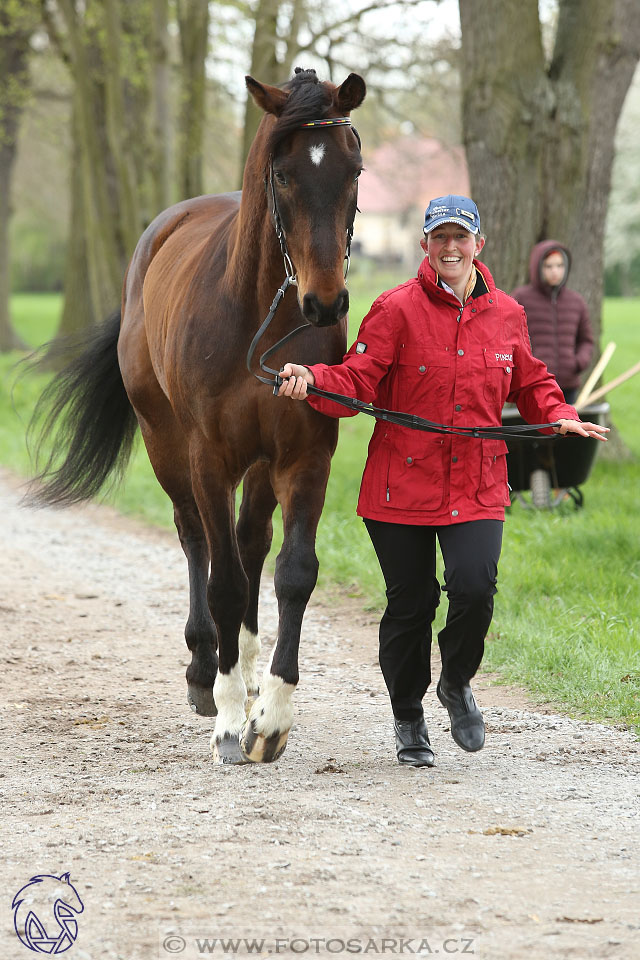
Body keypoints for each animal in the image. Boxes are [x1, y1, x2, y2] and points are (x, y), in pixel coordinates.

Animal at [28, 69, 364, 764]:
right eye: (283, 173)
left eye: (353, 170)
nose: (324, 302)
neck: (261, 317)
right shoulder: (208, 457)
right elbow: (224, 580)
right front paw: (231, 721)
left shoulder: (304, 457)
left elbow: (293, 573)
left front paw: (271, 716)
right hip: (166, 443)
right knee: (197, 540)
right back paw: (205, 666)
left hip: (258, 465)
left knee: (249, 542)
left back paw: (247, 664)